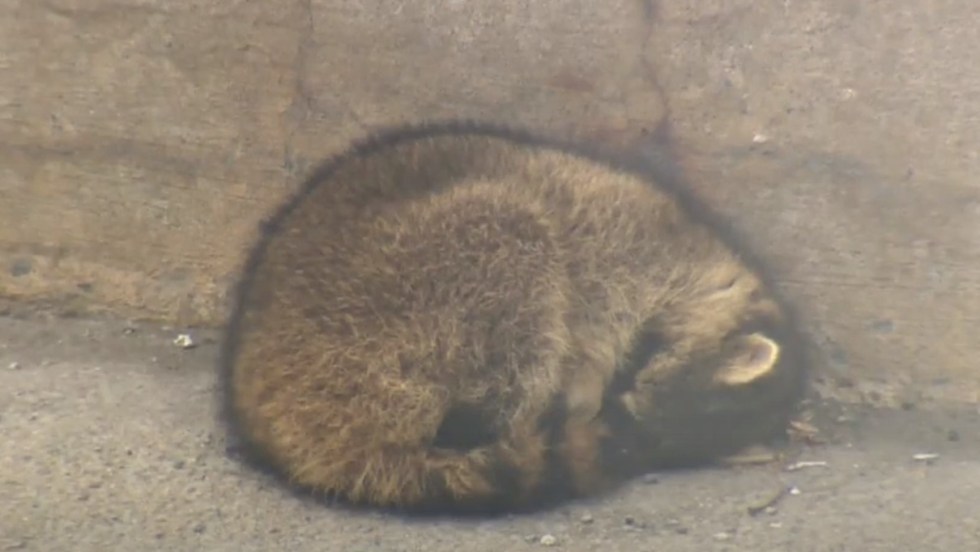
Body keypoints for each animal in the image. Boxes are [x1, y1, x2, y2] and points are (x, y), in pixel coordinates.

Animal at [218, 121, 807, 514]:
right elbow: (592, 315)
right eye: (641, 390)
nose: (618, 426)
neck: (716, 268)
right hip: (415, 288)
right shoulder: (619, 243)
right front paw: (587, 384)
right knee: (518, 259)